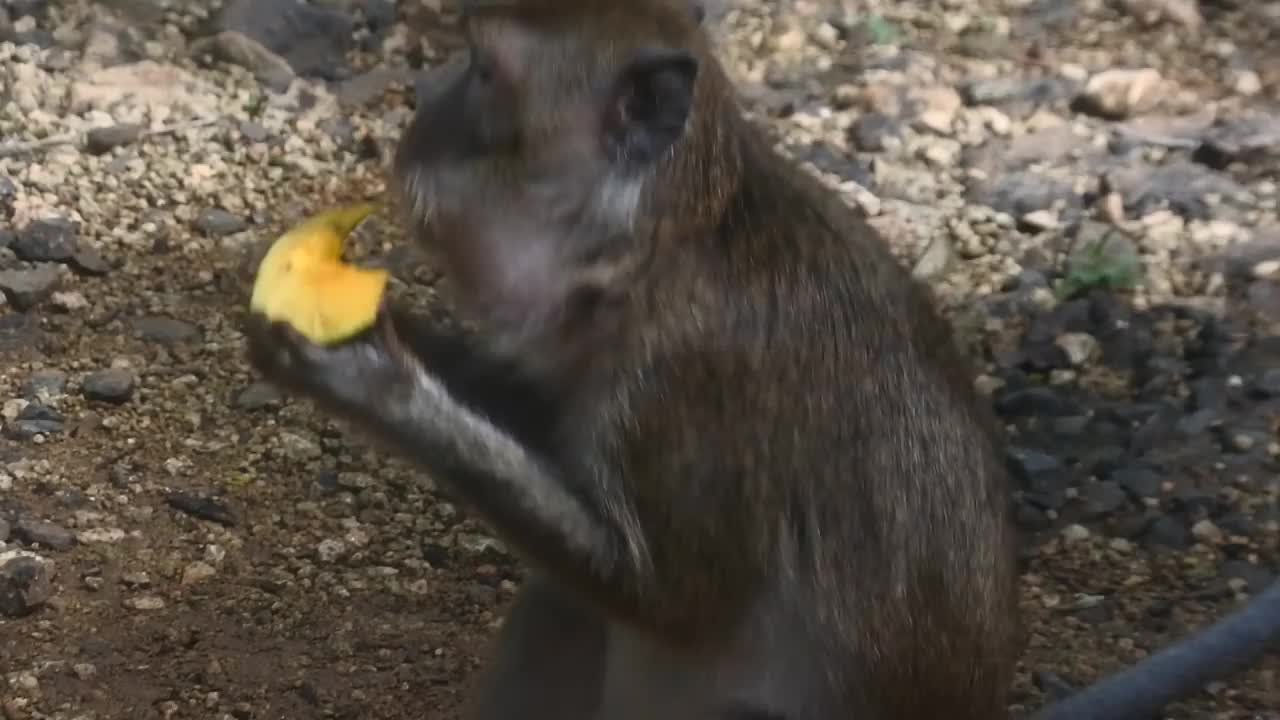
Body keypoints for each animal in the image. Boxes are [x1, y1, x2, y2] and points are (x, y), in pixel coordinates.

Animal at [244, 1, 1280, 717]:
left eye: (482, 69)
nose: (415, 116)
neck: (665, 246)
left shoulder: (691, 377)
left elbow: (669, 593)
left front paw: (371, 378)